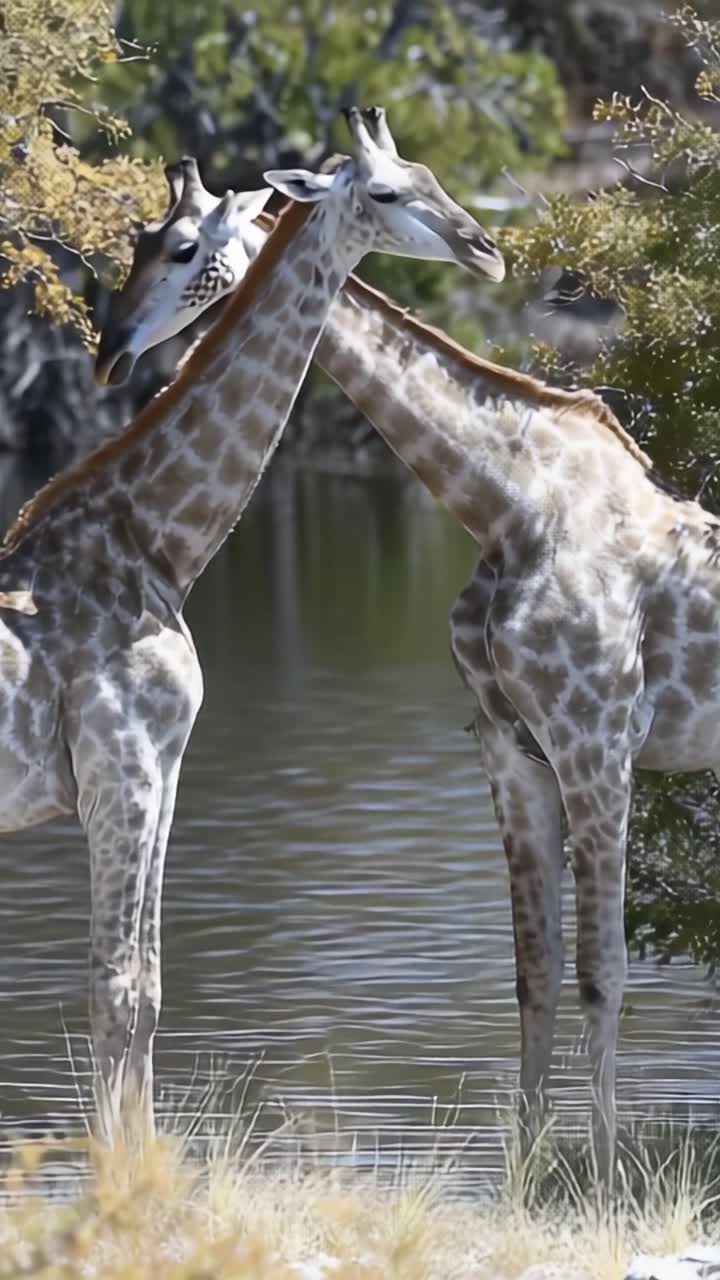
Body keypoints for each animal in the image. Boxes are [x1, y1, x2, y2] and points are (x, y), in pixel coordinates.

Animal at [0, 107, 502, 1142]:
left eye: (432, 175)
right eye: (388, 191)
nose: (484, 248)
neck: (157, 542)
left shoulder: (162, 777)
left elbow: (148, 991)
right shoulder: (123, 770)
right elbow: (120, 992)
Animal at [98, 109, 720, 1180]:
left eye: (180, 247)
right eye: (148, 241)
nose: (111, 345)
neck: (507, 504)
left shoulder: (599, 740)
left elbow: (603, 970)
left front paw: (602, 1177)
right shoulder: (511, 745)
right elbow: (535, 973)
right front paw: (530, 1174)